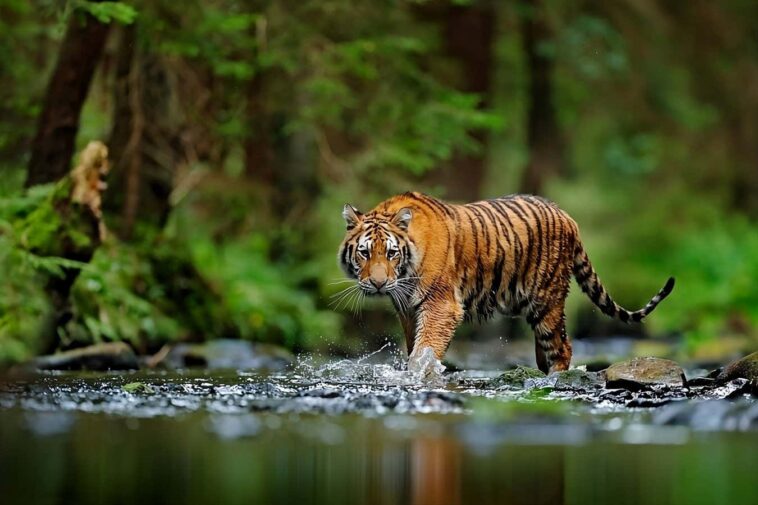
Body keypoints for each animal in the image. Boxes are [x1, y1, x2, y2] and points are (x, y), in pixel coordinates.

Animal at [337, 191, 675, 373]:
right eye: (365, 253)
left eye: (391, 253)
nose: (378, 284)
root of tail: (567, 216)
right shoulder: (407, 309)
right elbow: (413, 347)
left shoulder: (441, 305)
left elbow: (425, 349)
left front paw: (419, 375)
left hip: (547, 300)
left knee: (562, 347)